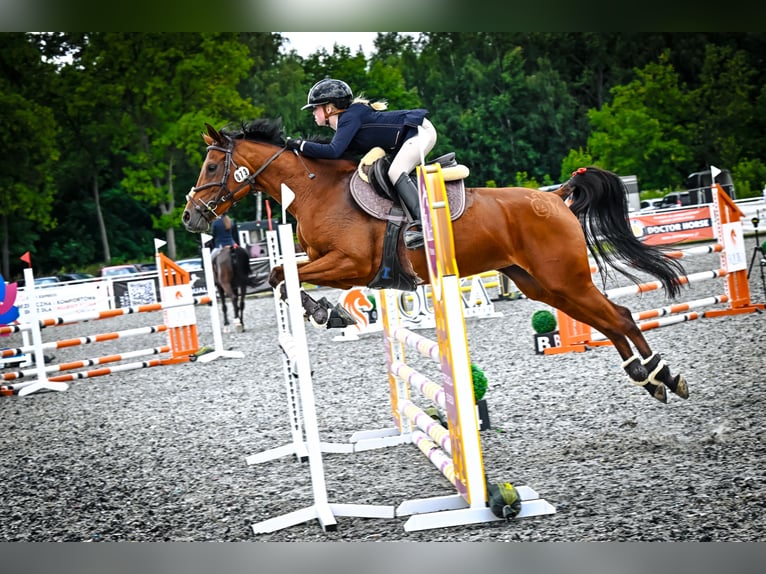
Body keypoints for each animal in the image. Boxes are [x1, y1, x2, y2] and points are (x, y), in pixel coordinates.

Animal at [183, 119, 689, 403]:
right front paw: (328, 312)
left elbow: (280, 276)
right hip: (542, 284)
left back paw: (664, 375)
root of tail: (556, 197)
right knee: (608, 319)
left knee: (619, 316)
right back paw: (648, 378)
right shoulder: (323, 259)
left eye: (211, 167)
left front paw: (329, 313)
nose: (191, 216)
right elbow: (279, 275)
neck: (315, 189)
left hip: (564, 279)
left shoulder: (350, 263)